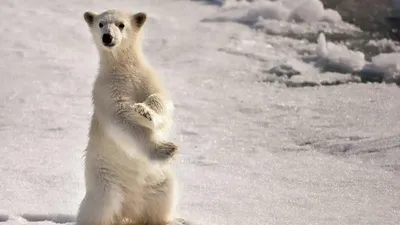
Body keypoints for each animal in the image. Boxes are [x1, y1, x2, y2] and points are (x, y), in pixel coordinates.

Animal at [76, 9, 184, 225]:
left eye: (121, 24)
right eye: (101, 24)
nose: (107, 37)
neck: (123, 68)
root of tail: (130, 210)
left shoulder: (146, 78)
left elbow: (161, 100)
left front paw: (145, 111)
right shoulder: (107, 90)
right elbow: (122, 119)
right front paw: (165, 149)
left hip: (158, 180)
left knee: (165, 196)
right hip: (105, 178)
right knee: (101, 206)